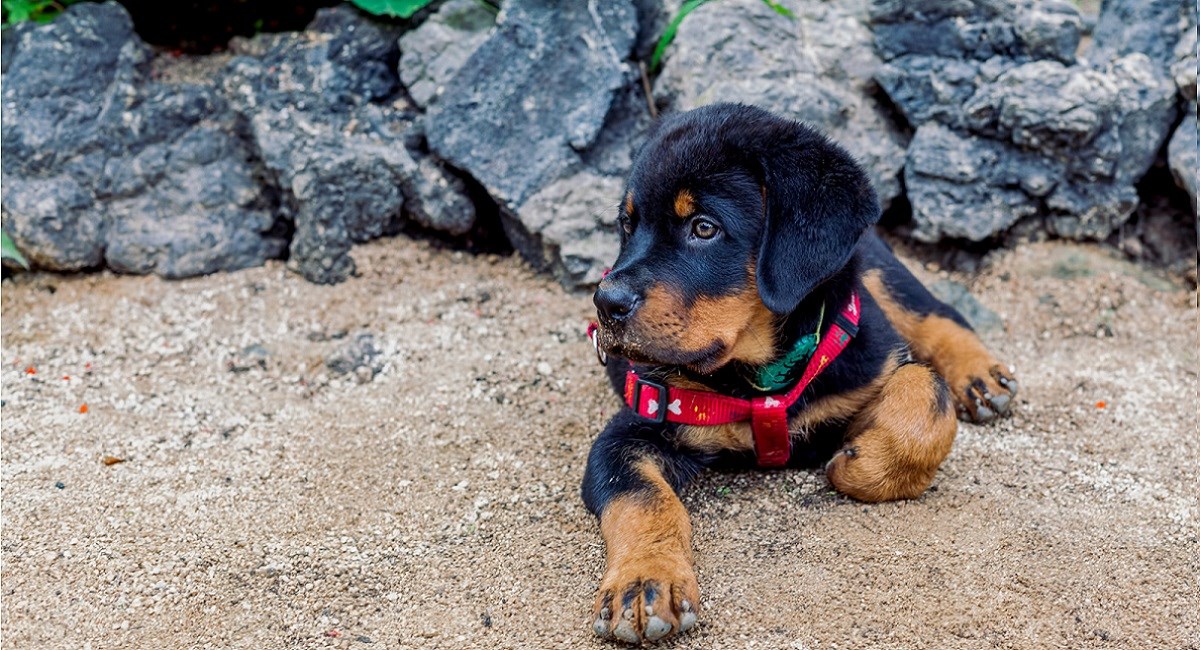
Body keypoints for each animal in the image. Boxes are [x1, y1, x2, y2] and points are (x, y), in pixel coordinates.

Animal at [585, 104, 1017, 642]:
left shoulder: (866, 358)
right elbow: (642, 500)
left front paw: (859, 465)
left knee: (935, 313)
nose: (605, 303)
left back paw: (979, 376)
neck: (760, 376)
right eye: (628, 226)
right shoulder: (635, 423)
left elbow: (926, 395)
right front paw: (645, 581)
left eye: (704, 228)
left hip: (874, 268)